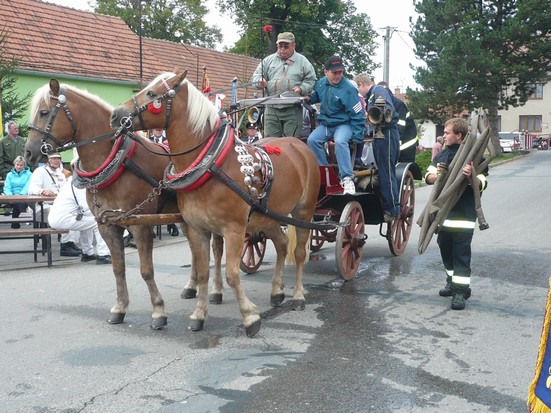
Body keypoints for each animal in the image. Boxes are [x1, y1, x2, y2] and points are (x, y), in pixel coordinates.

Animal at [110, 70, 322, 334]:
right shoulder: (197, 229)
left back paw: (298, 296)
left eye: (151, 94)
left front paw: (249, 316)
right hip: (268, 216)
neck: (211, 164)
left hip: (304, 211)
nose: (115, 115)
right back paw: (277, 291)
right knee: (282, 245)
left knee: (299, 252)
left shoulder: (234, 229)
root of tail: (299, 145)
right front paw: (199, 314)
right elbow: (203, 272)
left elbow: (231, 273)